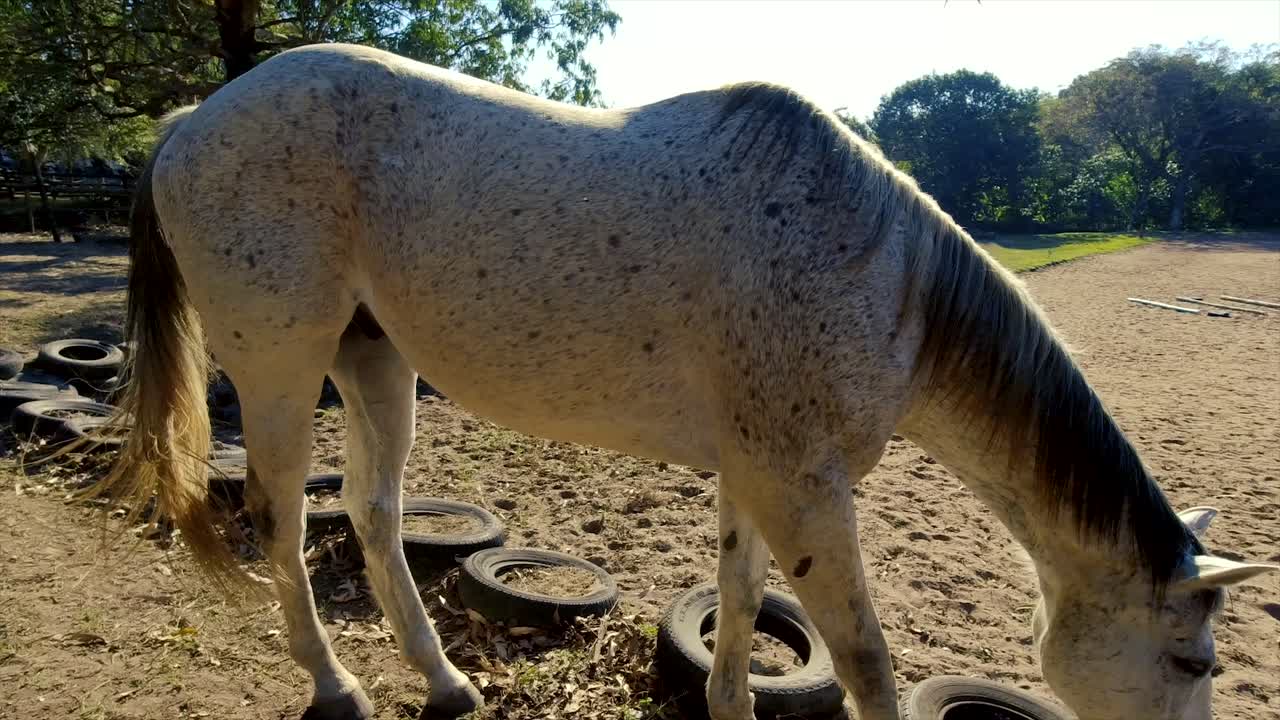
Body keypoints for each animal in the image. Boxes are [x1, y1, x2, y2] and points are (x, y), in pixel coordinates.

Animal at [101, 43, 1275, 720]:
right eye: (1192, 665)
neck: (877, 271)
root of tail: (191, 124)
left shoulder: (762, 478)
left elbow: (740, 597)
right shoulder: (804, 489)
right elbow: (865, 662)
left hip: (373, 360)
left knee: (375, 516)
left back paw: (443, 683)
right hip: (282, 364)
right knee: (280, 519)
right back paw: (335, 687)